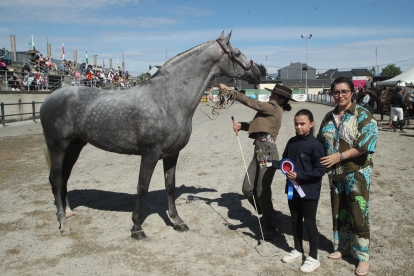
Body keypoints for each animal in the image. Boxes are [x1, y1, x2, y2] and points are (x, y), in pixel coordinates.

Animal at [40, 31, 260, 239]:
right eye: (237, 53)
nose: (259, 72)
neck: (167, 99)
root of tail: (49, 98)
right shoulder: (150, 154)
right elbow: (142, 188)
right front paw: (137, 228)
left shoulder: (172, 154)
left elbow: (170, 186)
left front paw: (177, 221)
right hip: (58, 147)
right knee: (56, 180)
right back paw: (64, 224)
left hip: (74, 146)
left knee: (64, 178)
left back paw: (68, 213)